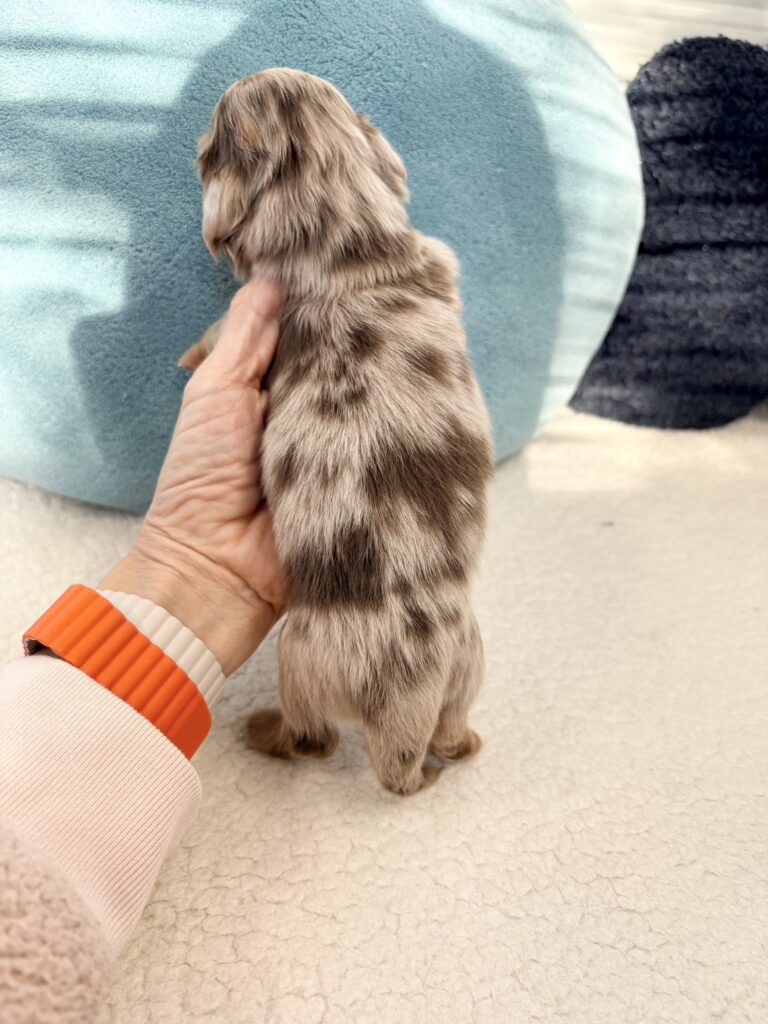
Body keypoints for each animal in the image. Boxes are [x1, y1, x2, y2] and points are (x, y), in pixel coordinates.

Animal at [181, 68, 493, 794]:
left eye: (208, 145)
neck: (355, 240)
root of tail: (405, 714)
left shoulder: (248, 321)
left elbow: (212, 338)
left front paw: (188, 358)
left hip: (298, 655)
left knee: (312, 740)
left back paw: (263, 732)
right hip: (469, 659)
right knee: (451, 728)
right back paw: (463, 746)